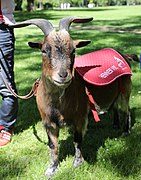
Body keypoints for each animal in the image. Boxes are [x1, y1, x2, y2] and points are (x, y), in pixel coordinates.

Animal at [9, 17, 135, 179]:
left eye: (73, 50)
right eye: (44, 50)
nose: (63, 75)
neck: (58, 105)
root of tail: (124, 55)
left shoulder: (80, 118)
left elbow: (77, 140)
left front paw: (77, 163)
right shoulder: (48, 122)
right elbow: (53, 146)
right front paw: (52, 168)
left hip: (125, 90)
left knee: (126, 110)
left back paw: (125, 131)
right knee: (114, 106)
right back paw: (115, 124)